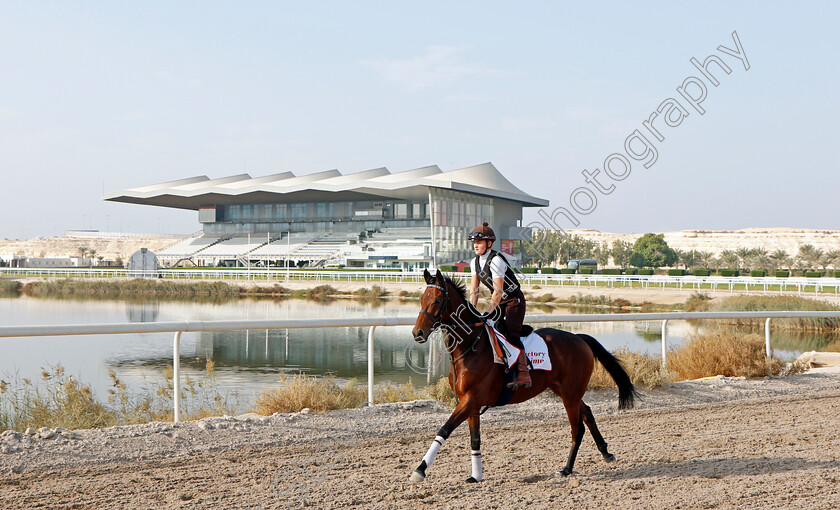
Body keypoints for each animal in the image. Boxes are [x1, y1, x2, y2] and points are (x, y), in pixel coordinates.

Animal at [408, 268, 636, 484]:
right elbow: (475, 439)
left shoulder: (471, 400)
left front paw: (420, 470)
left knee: (577, 428)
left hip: (570, 394)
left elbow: (444, 429)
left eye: (437, 300)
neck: (470, 346)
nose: (417, 333)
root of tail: (579, 338)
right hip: (565, 390)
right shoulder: (469, 403)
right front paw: (476, 476)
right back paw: (606, 452)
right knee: (587, 413)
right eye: (421, 299)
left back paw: (566, 469)